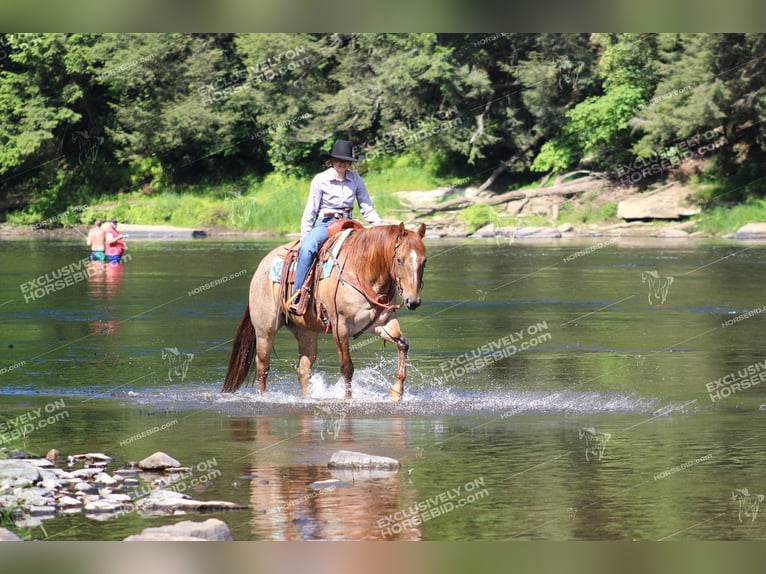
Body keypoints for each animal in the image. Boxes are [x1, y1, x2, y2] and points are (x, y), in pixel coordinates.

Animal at [222, 223, 428, 402]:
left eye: (424, 262)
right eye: (399, 260)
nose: (413, 301)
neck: (362, 271)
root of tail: (261, 267)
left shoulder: (383, 323)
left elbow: (403, 344)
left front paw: (396, 392)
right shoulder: (340, 328)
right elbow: (347, 367)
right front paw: (348, 399)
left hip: (306, 332)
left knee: (303, 370)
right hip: (265, 331)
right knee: (262, 367)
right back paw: (264, 398)